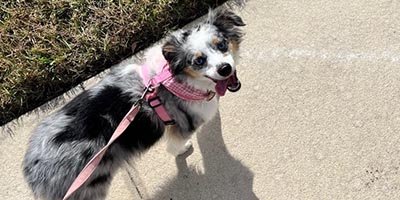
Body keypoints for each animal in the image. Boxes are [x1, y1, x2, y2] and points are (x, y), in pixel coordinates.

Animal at [23, 8, 245, 199]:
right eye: (199, 61)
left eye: (222, 44)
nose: (225, 68)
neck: (176, 80)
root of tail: (31, 168)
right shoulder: (183, 126)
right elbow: (175, 144)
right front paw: (182, 149)